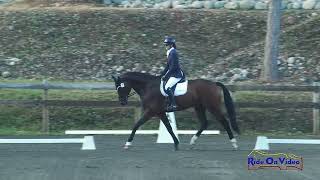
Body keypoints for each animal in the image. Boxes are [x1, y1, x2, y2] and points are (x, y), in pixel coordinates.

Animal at [111, 71, 239, 150]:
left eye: (120, 87)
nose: (122, 102)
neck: (148, 86)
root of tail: (214, 83)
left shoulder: (151, 111)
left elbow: (137, 125)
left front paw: (127, 144)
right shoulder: (160, 112)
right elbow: (169, 128)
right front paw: (176, 143)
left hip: (212, 106)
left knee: (224, 121)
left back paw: (234, 144)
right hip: (199, 107)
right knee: (204, 123)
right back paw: (192, 142)